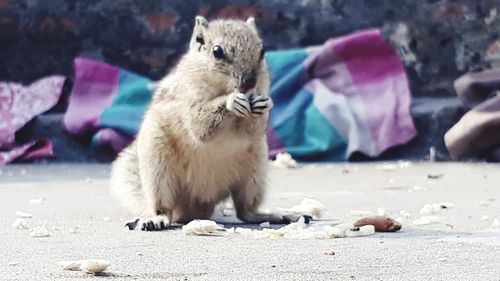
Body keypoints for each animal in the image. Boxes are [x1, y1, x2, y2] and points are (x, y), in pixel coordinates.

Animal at [110, 14, 304, 230]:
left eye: (262, 51)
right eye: (217, 51)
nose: (249, 82)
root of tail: (197, 203)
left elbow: (253, 129)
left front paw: (264, 104)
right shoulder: (187, 99)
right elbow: (200, 126)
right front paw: (231, 101)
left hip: (255, 173)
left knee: (245, 211)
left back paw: (276, 215)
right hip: (157, 169)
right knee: (164, 208)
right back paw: (156, 219)